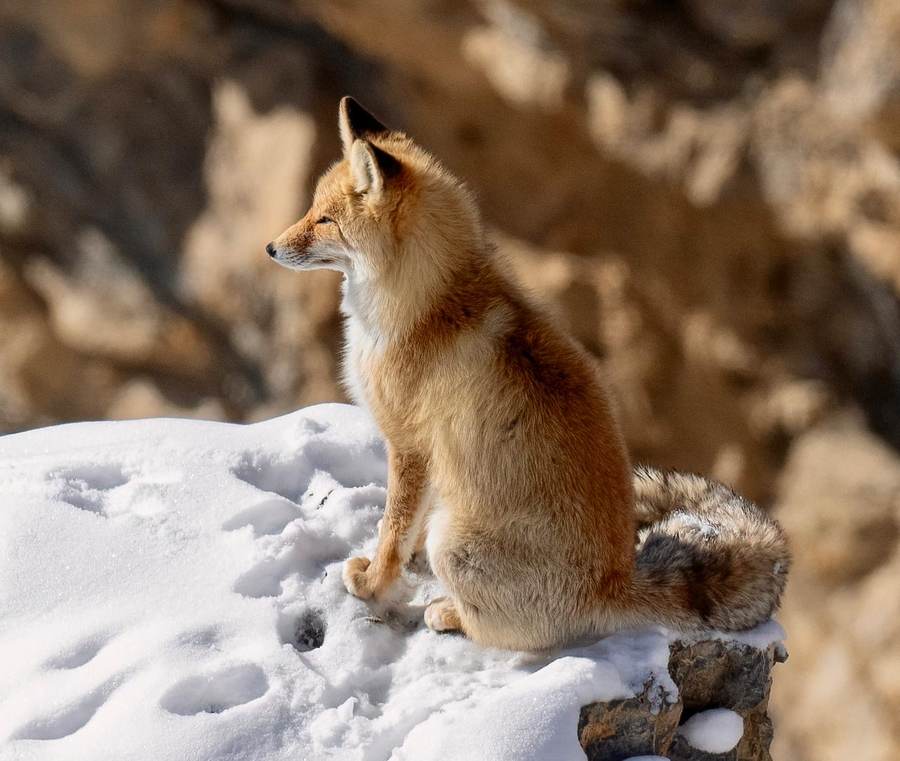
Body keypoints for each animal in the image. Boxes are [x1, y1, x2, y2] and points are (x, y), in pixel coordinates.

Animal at [265, 96, 790, 651]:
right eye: (310, 209)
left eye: (325, 220)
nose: (270, 249)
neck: (429, 305)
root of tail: (615, 585)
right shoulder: (427, 460)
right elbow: (404, 527)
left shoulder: (408, 446)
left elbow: (392, 530)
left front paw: (373, 584)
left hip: (453, 544)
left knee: (509, 634)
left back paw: (448, 613)